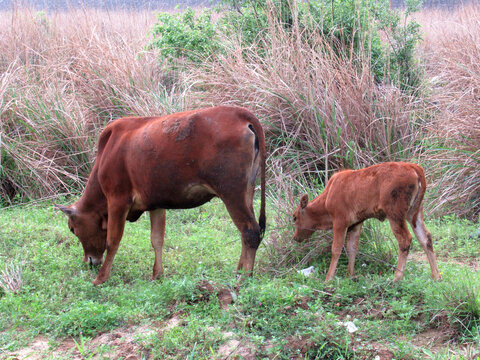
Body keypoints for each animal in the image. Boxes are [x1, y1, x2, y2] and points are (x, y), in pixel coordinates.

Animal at [58, 105, 266, 286]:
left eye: (72, 229)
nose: (89, 261)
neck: (107, 152)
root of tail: (240, 113)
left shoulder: (117, 200)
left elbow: (113, 240)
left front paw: (101, 278)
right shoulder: (156, 204)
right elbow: (157, 239)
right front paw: (157, 275)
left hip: (231, 193)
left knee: (250, 232)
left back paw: (243, 279)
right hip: (247, 192)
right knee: (247, 233)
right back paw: (239, 271)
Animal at [290, 162, 440, 282]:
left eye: (295, 217)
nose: (295, 237)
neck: (327, 199)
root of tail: (415, 168)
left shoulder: (340, 222)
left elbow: (336, 249)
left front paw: (328, 278)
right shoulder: (356, 223)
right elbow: (352, 248)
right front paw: (350, 275)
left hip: (395, 214)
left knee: (405, 240)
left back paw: (397, 278)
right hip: (414, 212)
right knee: (425, 238)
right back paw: (436, 276)